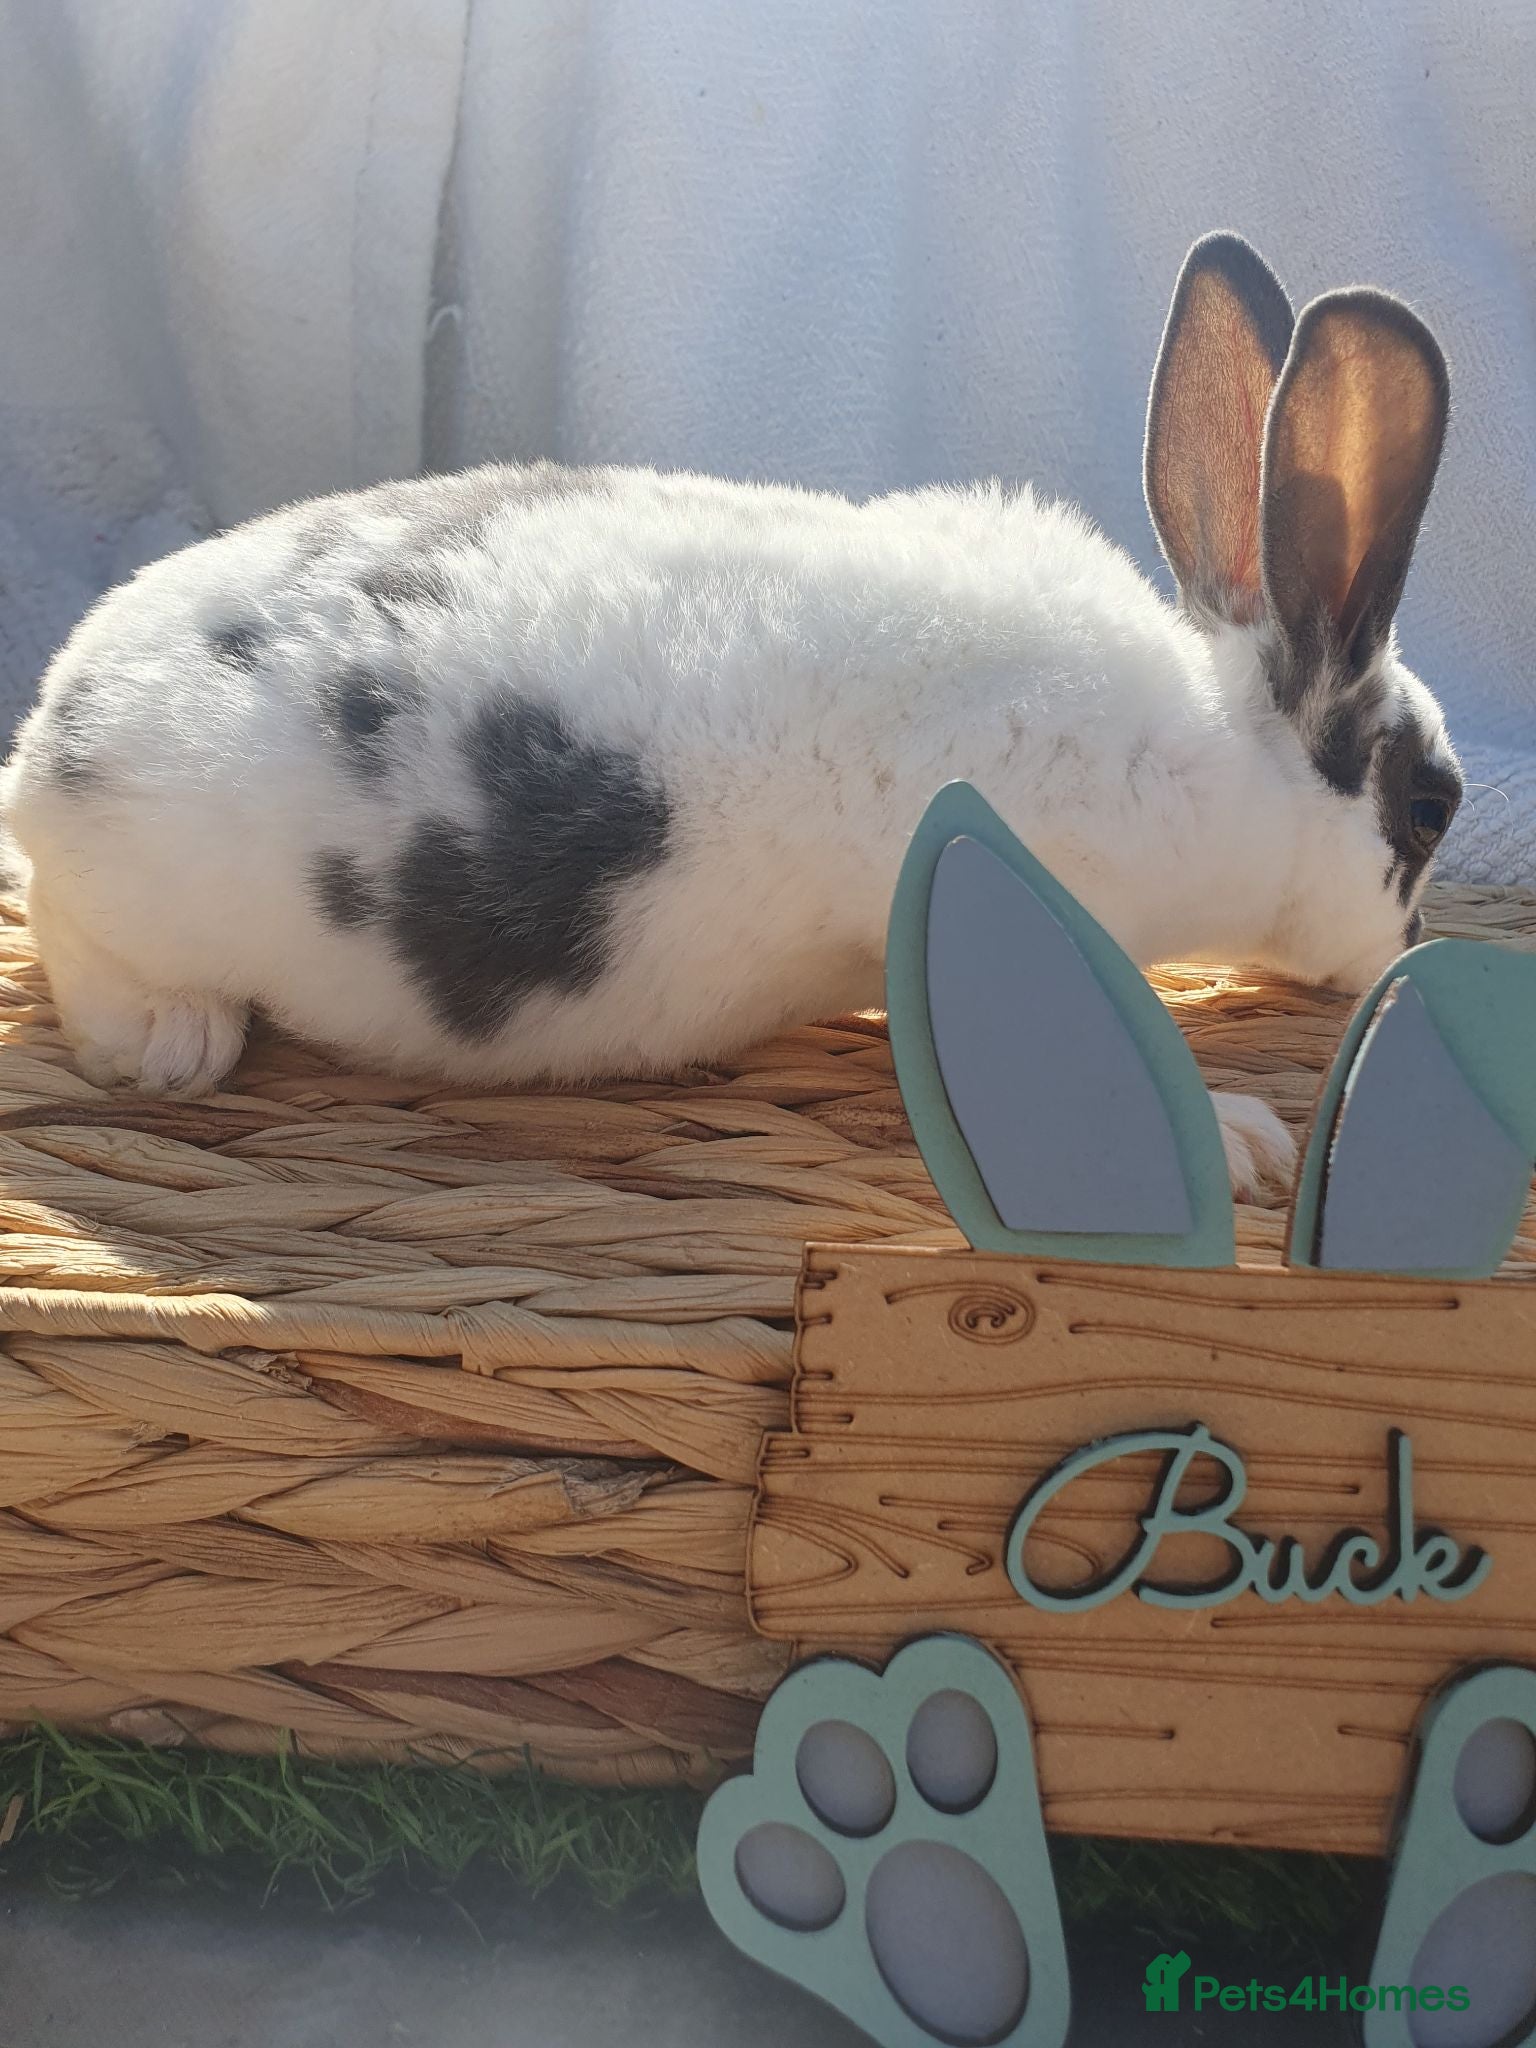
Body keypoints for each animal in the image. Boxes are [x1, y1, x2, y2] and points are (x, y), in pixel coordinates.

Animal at [0, 232, 1462, 1206]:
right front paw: (1239, 1138)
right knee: (89, 958)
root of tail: (49, 736)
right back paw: (178, 1042)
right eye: (1429, 807)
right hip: (137, 901)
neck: (1215, 752)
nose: (1403, 953)